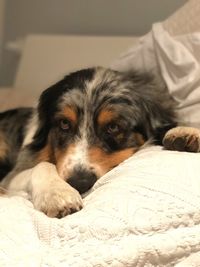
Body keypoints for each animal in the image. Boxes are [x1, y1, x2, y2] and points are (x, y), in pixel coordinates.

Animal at [0, 66, 180, 218]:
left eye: (113, 127)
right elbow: (43, 165)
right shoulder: (12, 176)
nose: (79, 182)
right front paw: (56, 192)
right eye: (64, 123)